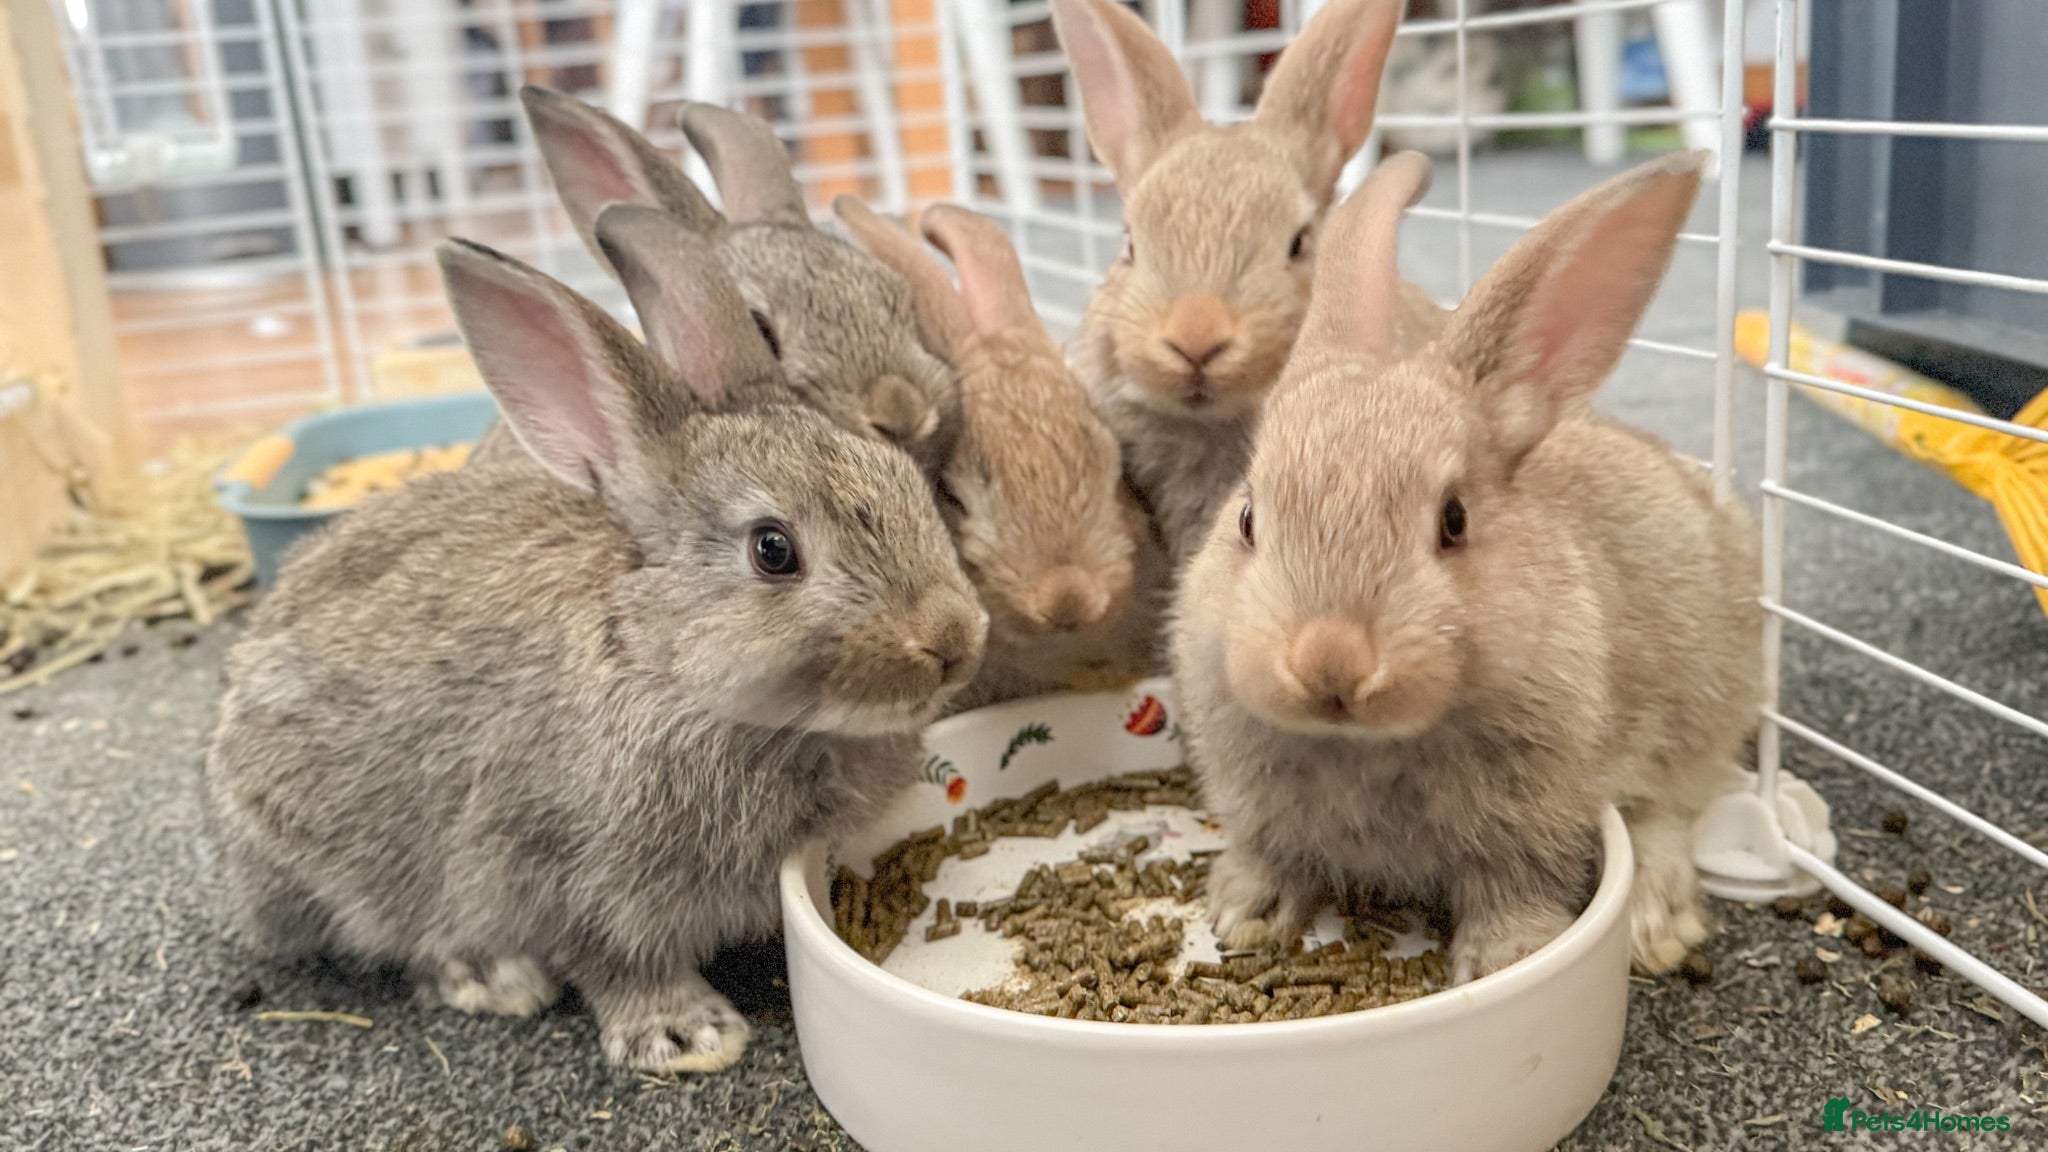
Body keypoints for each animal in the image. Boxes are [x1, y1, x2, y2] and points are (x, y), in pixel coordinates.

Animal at [206, 206, 987, 1074]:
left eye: (910, 484)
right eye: (773, 549)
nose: (954, 639)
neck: (662, 668)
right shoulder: (559, 873)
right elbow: (614, 963)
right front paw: (689, 1036)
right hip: (340, 860)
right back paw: (494, 979)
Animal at [1171, 150, 1762, 984]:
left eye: (1454, 521)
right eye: (1248, 519)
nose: (1330, 662)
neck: (1364, 744)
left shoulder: (1532, 814)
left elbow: (1513, 883)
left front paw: (1508, 960)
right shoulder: (1257, 802)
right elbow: (1271, 850)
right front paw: (1244, 912)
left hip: (1698, 713)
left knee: (1665, 814)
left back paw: (1658, 927)